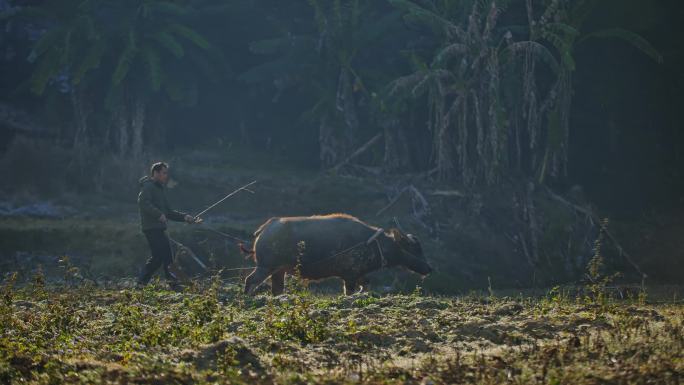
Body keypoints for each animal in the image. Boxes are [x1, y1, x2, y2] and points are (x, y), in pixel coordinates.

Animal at [243, 213, 430, 294]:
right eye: (413, 247)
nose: (430, 268)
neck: (371, 244)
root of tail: (264, 229)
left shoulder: (358, 275)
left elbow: (366, 285)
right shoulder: (350, 276)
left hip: (278, 271)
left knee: (276, 290)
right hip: (265, 267)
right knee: (249, 280)